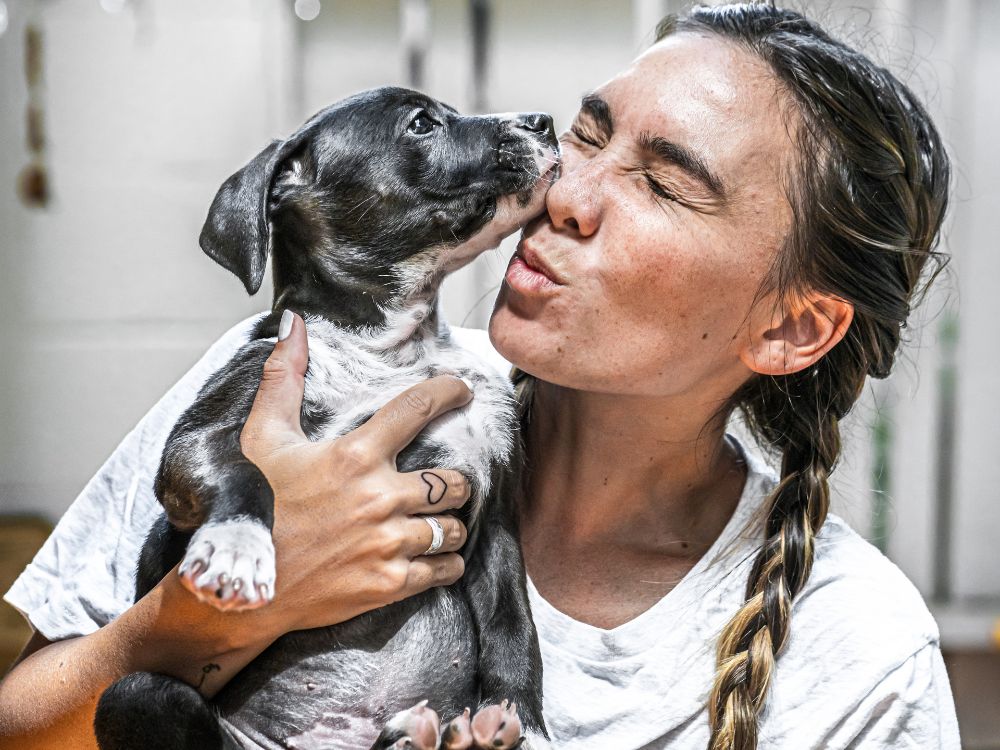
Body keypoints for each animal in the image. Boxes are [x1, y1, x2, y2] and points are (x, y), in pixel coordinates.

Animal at [93, 88, 560, 750]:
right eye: (422, 124)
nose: (544, 120)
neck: (388, 349)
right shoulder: (199, 438)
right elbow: (246, 475)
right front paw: (238, 545)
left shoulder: (495, 517)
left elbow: (513, 628)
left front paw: (524, 725)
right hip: (135, 696)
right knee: (146, 693)